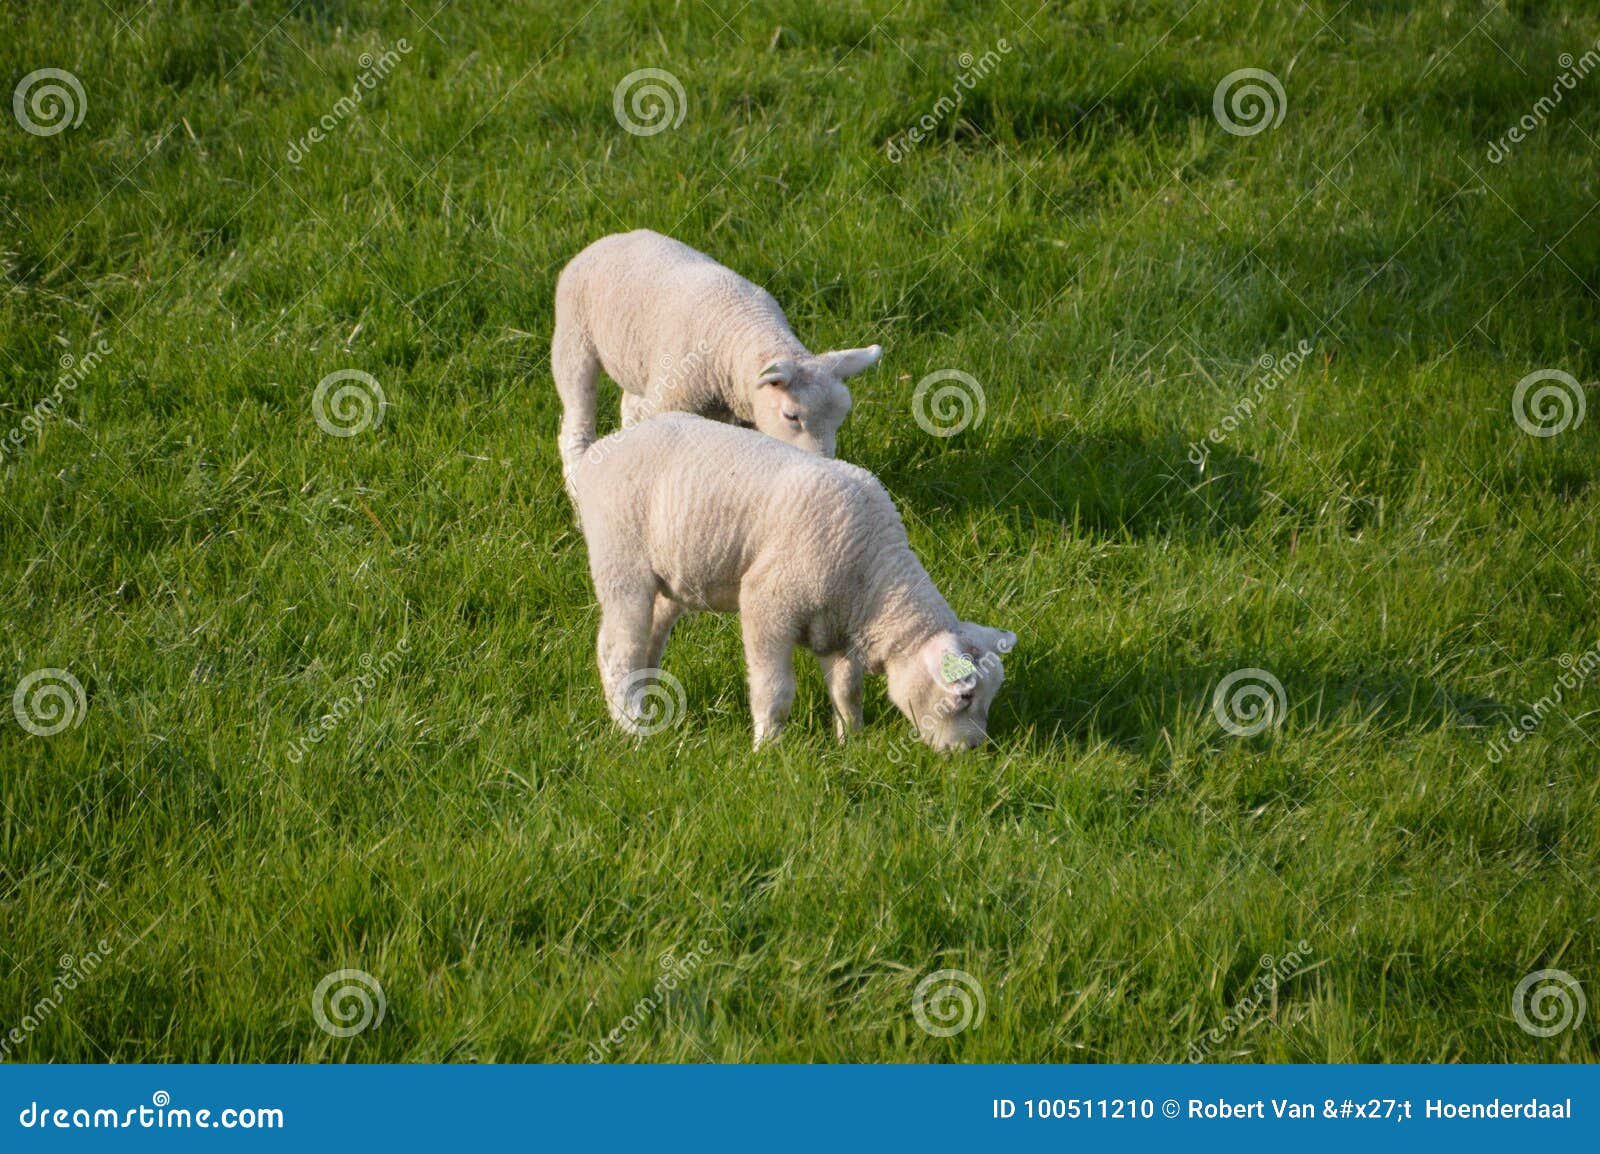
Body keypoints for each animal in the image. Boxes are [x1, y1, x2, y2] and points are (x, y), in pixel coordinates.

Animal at [547, 228, 876, 476]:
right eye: (791, 416)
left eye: (841, 417)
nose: (825, 465)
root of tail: (612, 238)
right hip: (574, 340)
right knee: (575, 428)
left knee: (630, 404)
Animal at [563, 412, 1011, 745]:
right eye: (965, 696)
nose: (972, 750)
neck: (874, 579)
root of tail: (600, 451)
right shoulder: (768, 605)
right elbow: (775, 691)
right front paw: (768, 749)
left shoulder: (838, 627)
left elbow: (848, 690)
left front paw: (851, 741)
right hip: (621, 562)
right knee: (616, 650)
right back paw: (631, 724)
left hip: (669, 577)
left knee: (648, 639)